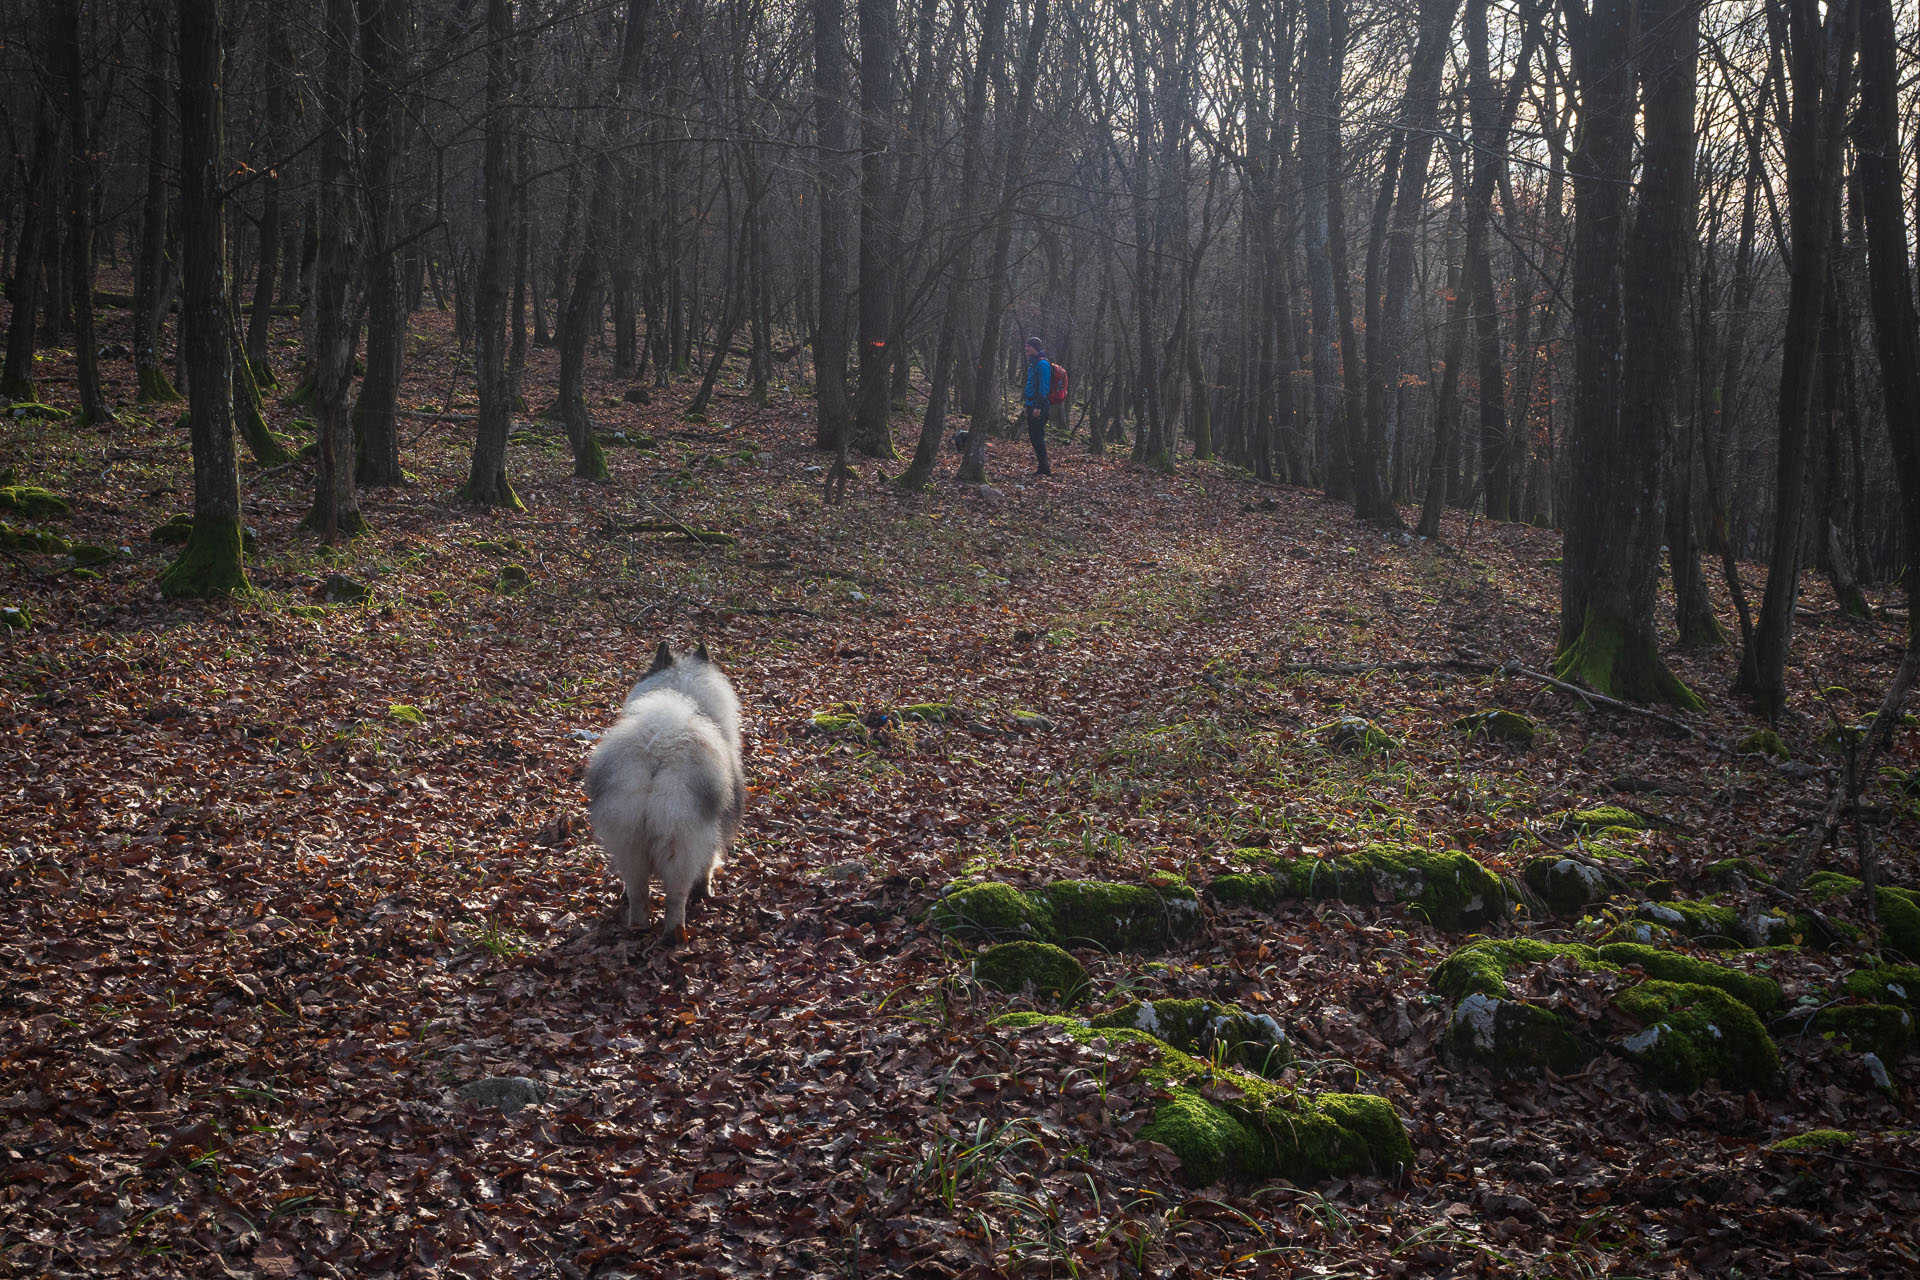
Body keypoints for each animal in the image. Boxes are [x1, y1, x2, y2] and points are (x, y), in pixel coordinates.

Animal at [583, 644, 741, 948]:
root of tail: (659, 752)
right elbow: (708, 865)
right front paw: (705, 891)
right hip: (680, 844)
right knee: (675, 897)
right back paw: (674, 935)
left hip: (628, 840)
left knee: (638, 891)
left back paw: (638, 926)